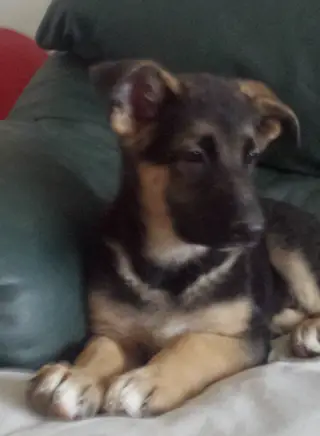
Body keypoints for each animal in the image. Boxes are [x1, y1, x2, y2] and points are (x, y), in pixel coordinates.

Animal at [26, 60, 320, 418]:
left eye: (251, 157)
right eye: (194, 156)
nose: (254, 231)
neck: (172, 264)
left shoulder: (245, 339)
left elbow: (194, 342)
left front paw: (147, 380)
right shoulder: (115, 331)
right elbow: (101, 349)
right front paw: (75, 377)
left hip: (290, 247)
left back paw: (311, 331)